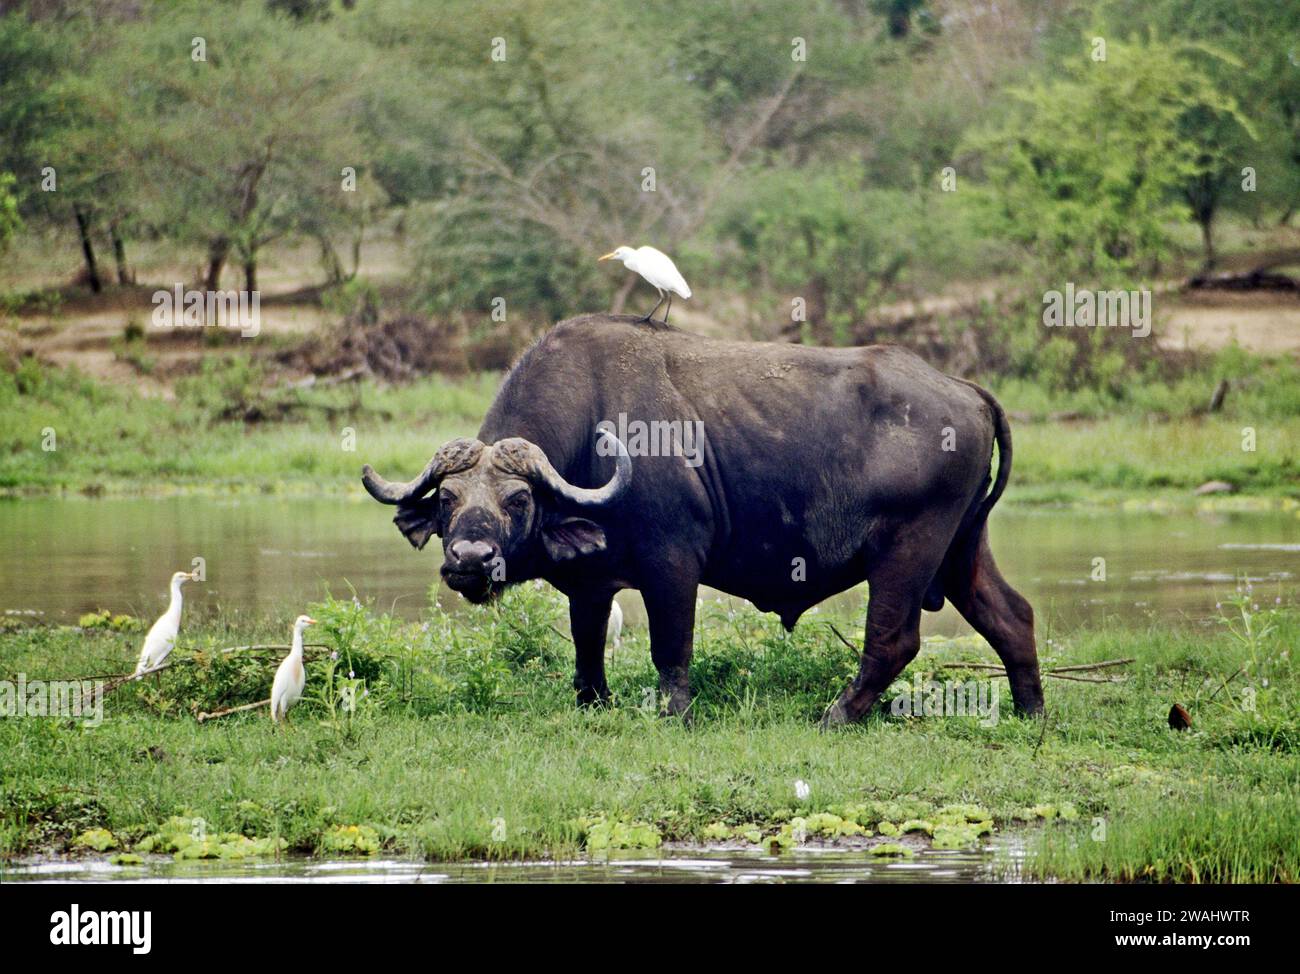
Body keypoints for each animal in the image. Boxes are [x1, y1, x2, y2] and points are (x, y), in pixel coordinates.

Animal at [361, 314, 1044, 725]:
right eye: (448, 500)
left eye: (517, 501)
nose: (470, 561)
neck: (592, 425)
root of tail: (962, 388)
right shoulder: (590, 584)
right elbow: (587, 647)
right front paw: (593, 705)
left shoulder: (672, 562)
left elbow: (671, 648)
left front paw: (674, 716)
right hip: (961, 548)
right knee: (1012, 617)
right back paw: (1031, 712)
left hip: (909, 550)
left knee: (893, 639)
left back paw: (834, 716)